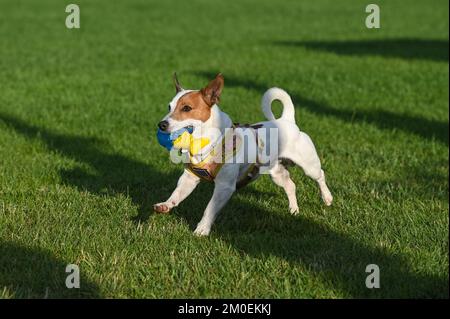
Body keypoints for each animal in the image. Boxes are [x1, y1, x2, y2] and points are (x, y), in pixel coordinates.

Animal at [153, 74, 332, 236]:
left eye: (187, 108)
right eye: (169, 107)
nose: (161, 124)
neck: (209, 143)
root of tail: (287, 121)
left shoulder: (225, 186)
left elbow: (210, 209)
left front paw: (202, 229)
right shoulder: (189, 178)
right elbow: (177, 194)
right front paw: (166, 205)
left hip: (309, 165)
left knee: (320, 175)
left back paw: (327, 197)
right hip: (276, 172)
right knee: (290, 185)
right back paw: (294, 210)